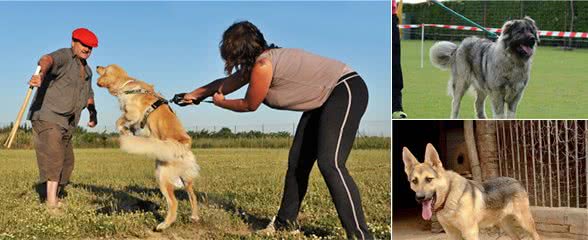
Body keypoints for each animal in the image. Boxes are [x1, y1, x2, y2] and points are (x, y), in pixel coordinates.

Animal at [95, 63, 199, 231]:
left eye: (104, 68)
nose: (97, 65)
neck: (127, 85)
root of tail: (184, 144)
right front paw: (128, 131)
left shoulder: (133, 114)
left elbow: (119, 121)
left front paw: (125, 131)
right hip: (186, 179)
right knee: (193, 195)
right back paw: (194, 217)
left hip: (162, 175)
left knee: (173, 202)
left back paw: (163, 225)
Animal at [402, 143, 540, 239]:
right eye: (414, 181)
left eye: (429, 179)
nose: (419, 198)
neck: (448, 198)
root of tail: (516, 180)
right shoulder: (452, 234)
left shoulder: (470, 232)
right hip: (506, 226)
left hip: (525, 222)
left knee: (536, 236)